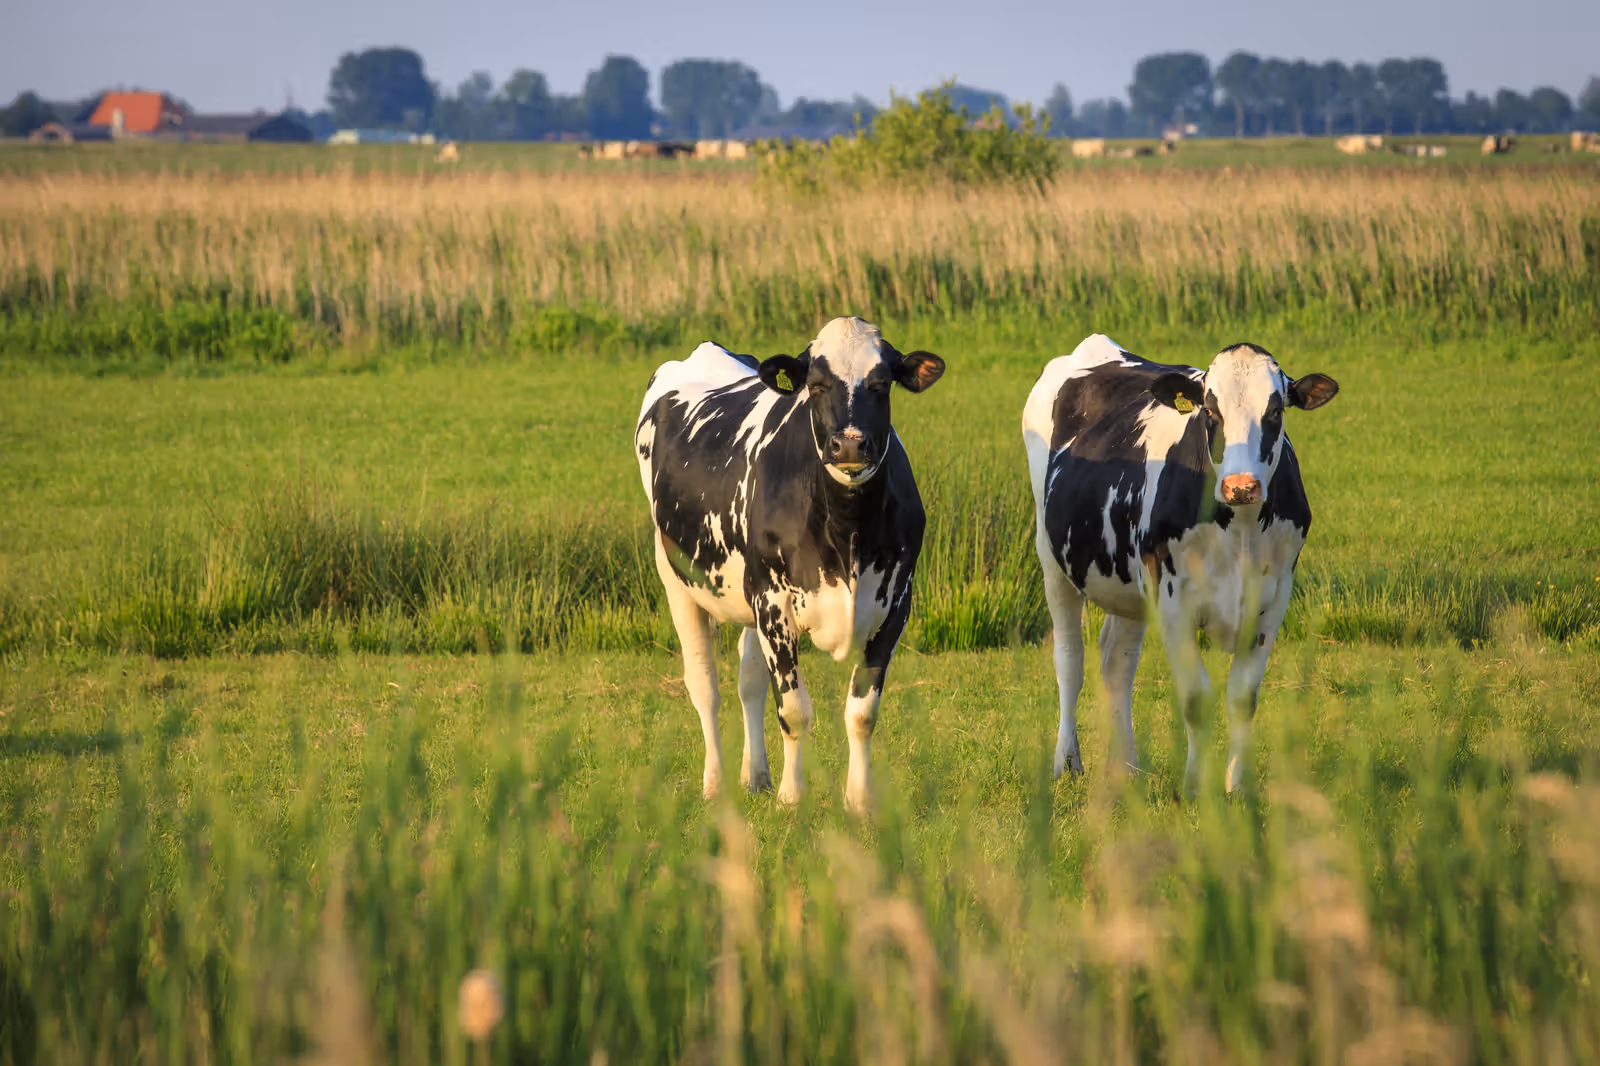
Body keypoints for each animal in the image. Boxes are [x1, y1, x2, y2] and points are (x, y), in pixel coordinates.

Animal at [636, 317, 946, 812]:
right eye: (816, 385)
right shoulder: (773, 603)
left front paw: (859, 801)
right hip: (676, 579)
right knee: (705, 687)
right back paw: (715, 784)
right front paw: (792, 797)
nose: (849, 445)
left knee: (748, 683)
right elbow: (795, 710)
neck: (848, 529)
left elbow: (862, 712)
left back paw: (755, 775)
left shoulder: (896, 603)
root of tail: (704, 350)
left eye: (881, 383)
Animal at [1022, 335, 1339, 796]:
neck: (1240, 528)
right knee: (1070, 660)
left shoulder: (1273, 600)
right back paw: (1067, 762)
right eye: (1210, 411)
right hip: (1052, 558)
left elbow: (1243, 697)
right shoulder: (1171, 601)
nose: (1241, 486)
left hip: (1128, 582)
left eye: (1276, 411)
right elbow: (1195, 698)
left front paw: (1237, 787)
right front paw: (1194, 787)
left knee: (1116, 660)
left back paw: (1127, 768)